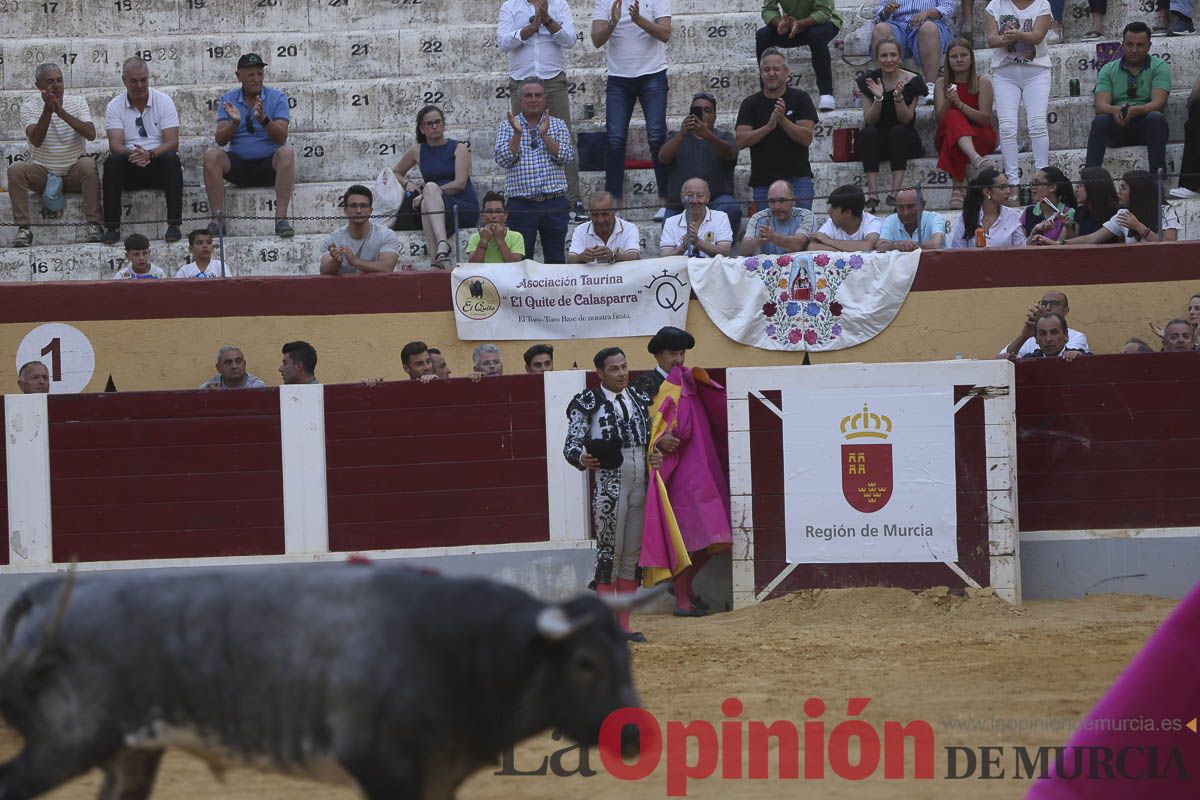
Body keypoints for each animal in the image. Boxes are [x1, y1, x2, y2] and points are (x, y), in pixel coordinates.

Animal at [0, 566, 643, 796]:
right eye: (586, 664)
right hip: (67, 742)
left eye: (625, 658)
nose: (636, 736)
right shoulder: (387, 773)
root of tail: (43, 596)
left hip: (131, 753)